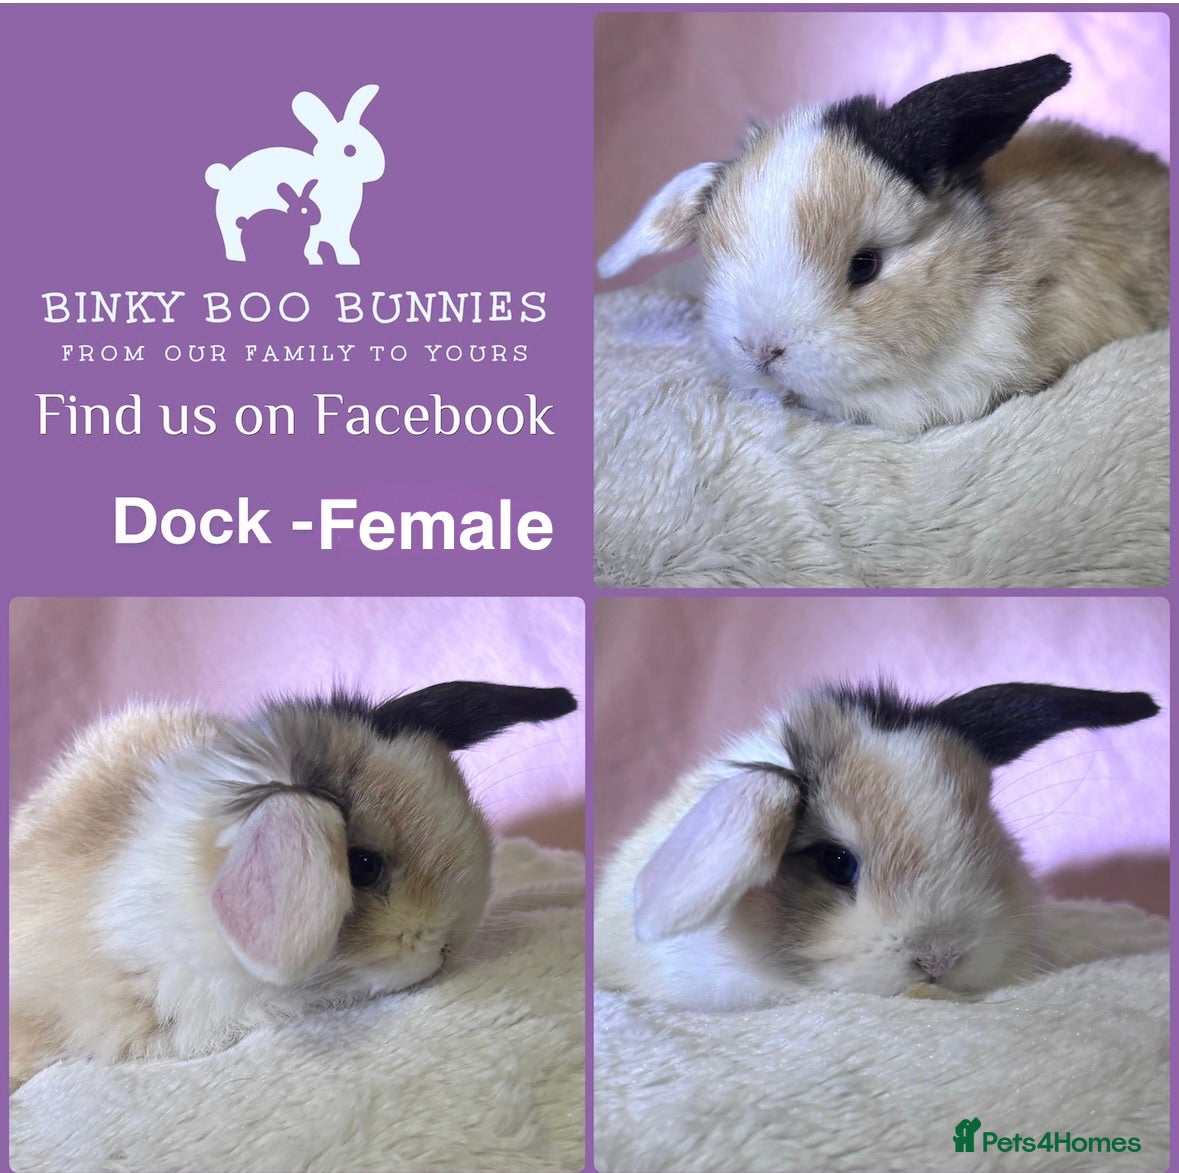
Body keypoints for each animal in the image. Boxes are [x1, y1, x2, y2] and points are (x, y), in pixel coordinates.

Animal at [206, 85, 384, 264]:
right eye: (350, 150)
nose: (379, 169)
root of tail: (226, 177)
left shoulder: (341, 230)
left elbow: (341, 244)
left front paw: (349, 258)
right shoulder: (315, 228)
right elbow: (311, 245)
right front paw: (315, 259)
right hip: (233, 218)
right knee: (232, 237)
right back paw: (238, 256)